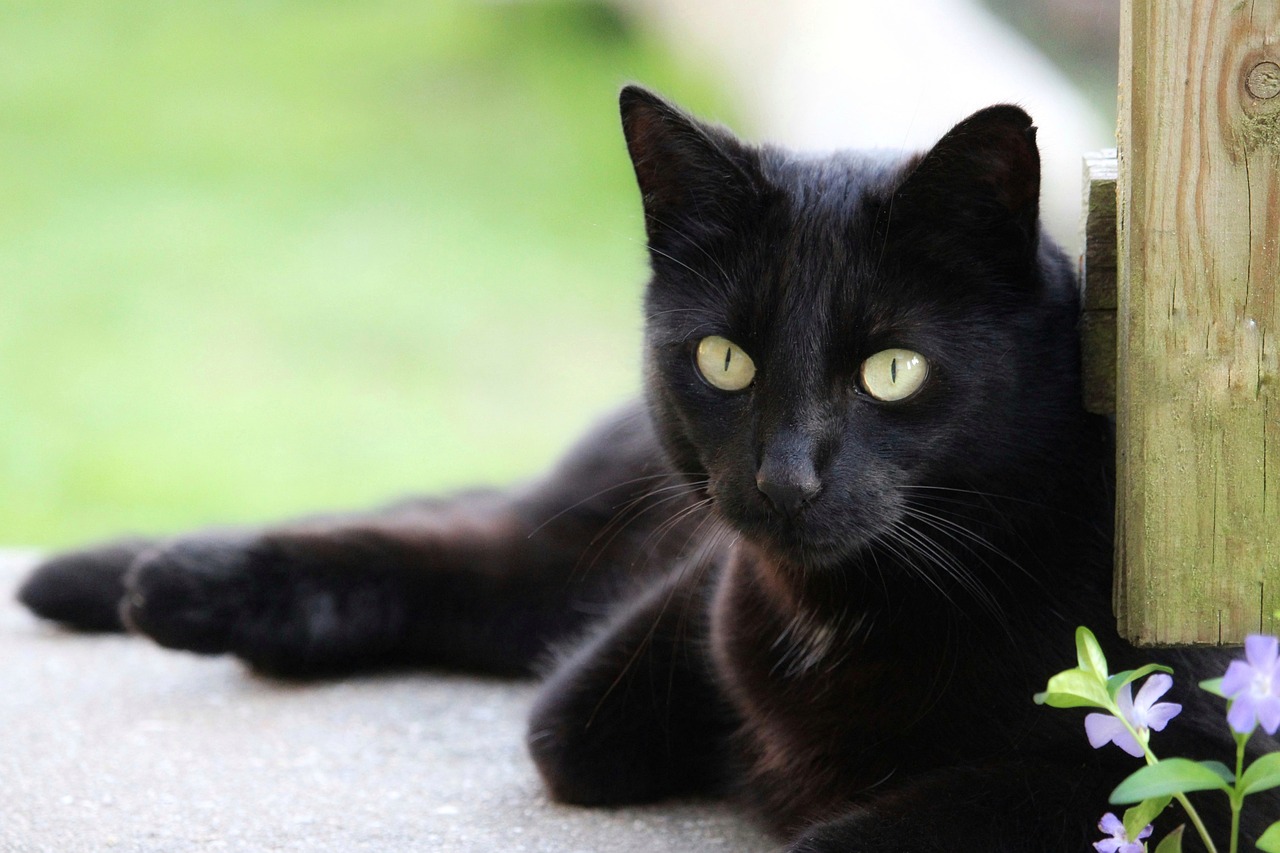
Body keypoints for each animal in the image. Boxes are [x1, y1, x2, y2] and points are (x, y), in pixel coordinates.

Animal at [15, 87, 1274, 850]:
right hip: (588, 529)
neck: (844, 611)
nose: (782, 476)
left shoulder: (1183, 754)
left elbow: (878, 825)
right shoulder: (689, 591)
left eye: (891, 370)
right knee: (454, 542)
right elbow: (567, 729)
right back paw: (164, 583)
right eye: (724, 358)